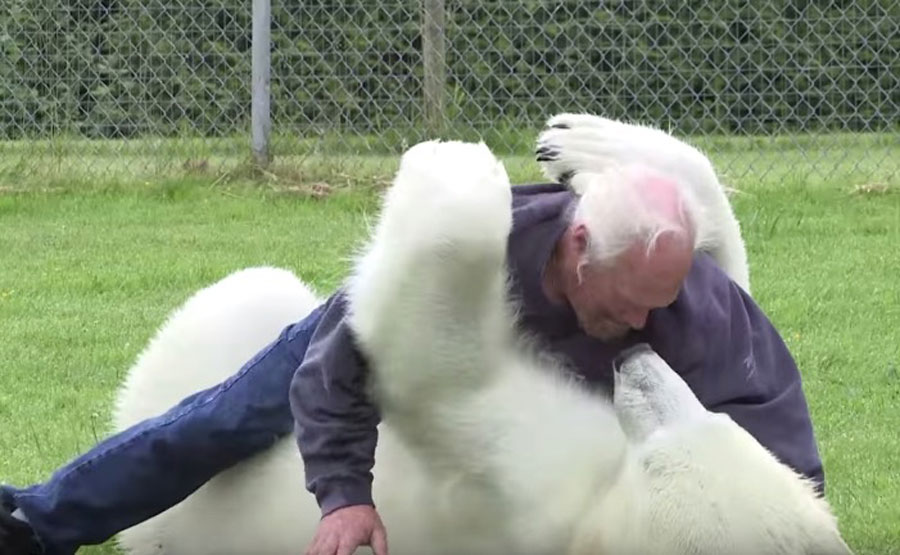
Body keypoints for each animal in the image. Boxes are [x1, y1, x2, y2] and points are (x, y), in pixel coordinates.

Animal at [114, 141, 852, 552]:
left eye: (660, 455)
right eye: (717, 417)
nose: (634, 358)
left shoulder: (531, 480)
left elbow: (440, 370)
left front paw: (456, 163)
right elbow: (736, 297)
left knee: (243, 308)